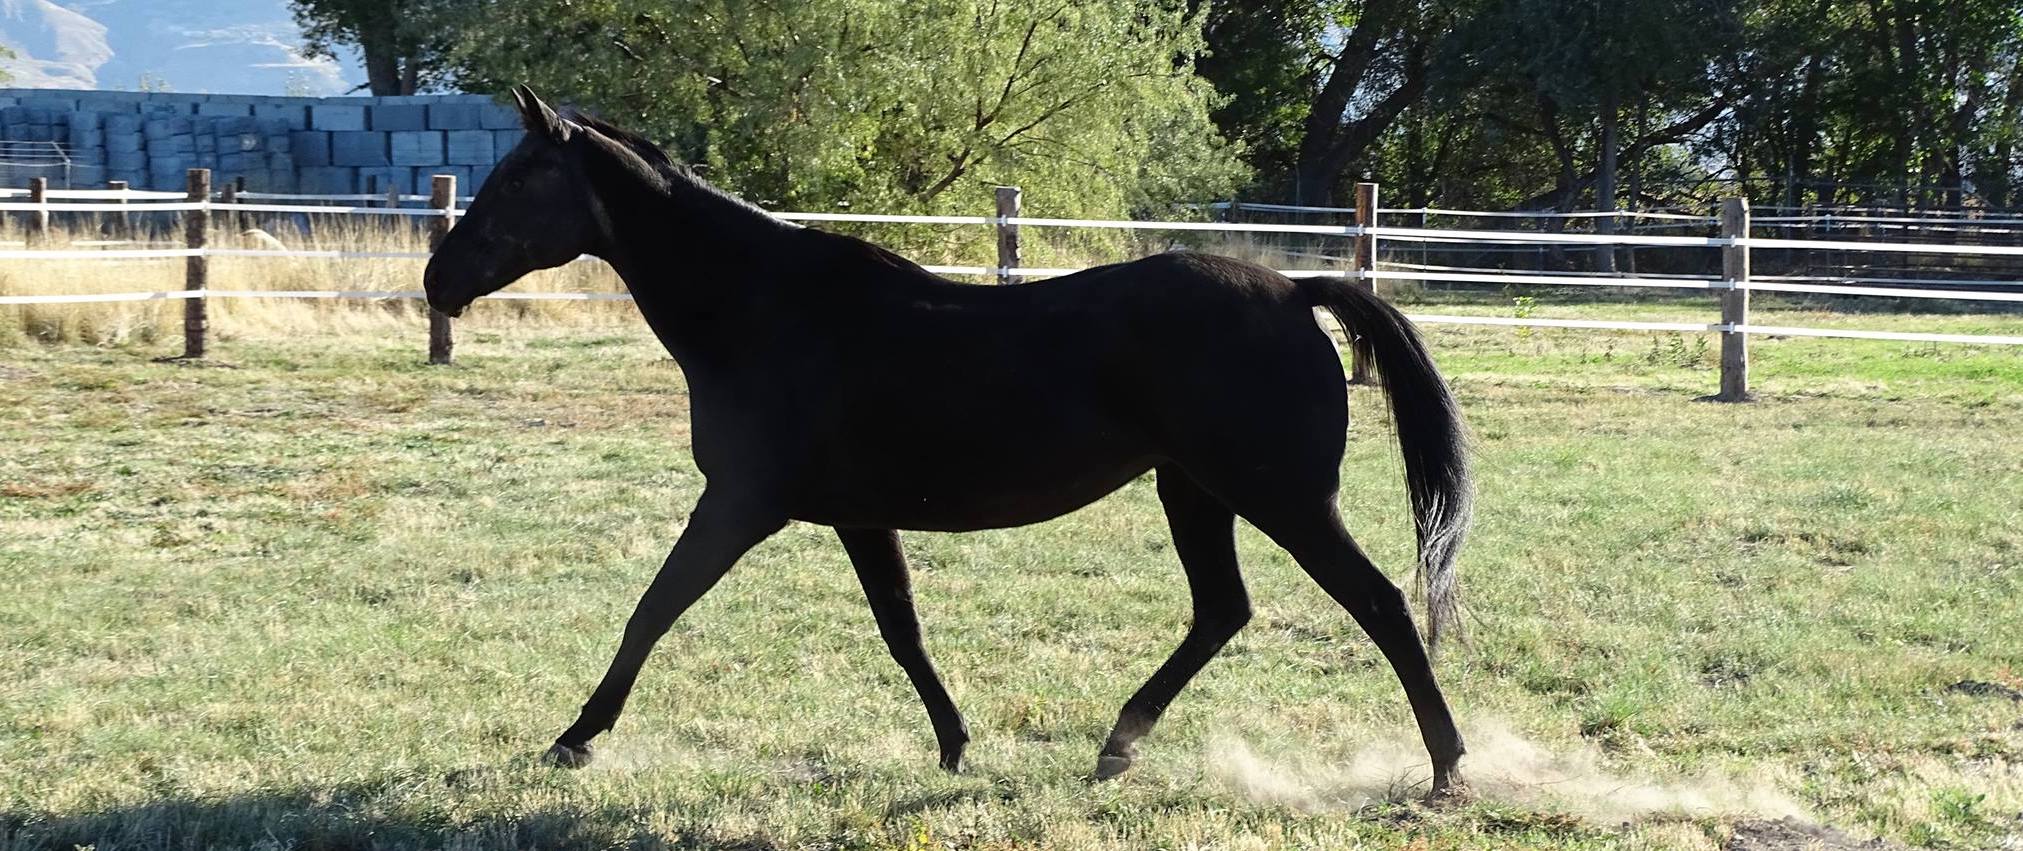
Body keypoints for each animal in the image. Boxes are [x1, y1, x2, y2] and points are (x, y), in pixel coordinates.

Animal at [423, 86, 1476, 799]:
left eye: (520, 178)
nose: (437, 279)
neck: (761, 309)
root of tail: (1297, 290)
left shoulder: (741, 502)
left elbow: (651, 609)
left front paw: (575, 736)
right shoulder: (856, 517)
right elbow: (903, 629)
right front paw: (955, 744)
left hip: (1279, 495)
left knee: (1379, 604)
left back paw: (1447, 769)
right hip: (1193, 490)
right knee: (1222, 610)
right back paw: (1116, 746)